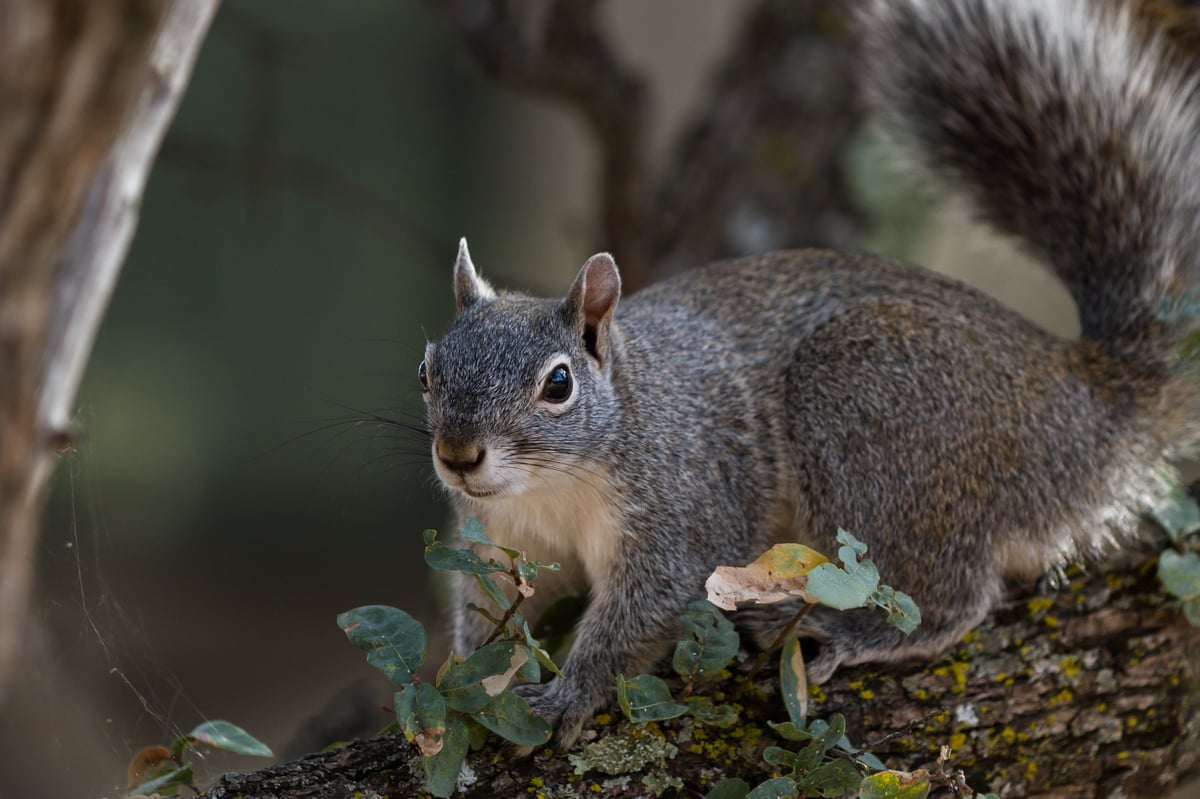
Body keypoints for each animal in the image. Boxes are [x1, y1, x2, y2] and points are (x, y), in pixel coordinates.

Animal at [419, 0, 1200, 749]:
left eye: (558, 384)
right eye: (427, 370)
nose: (458, 456)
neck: (556, 484)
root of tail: (1086, 403)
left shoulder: (687, 511)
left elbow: (643, 613)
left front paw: (567, 697)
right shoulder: (501, 544)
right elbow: (486, 619)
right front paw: (465, 689)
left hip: (868, 413)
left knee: (949, 600)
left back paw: (841, 629)